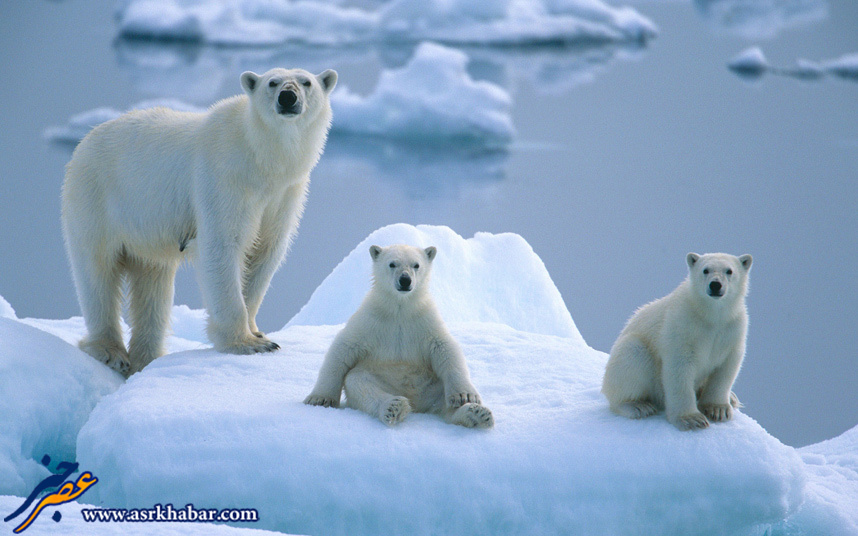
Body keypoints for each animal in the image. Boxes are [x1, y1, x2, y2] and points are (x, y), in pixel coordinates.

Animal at [59, 68, 334, 376]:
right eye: (272, 82)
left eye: (306, 82)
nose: (287, 97)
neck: (260, 159)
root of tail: (84, 141)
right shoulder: (224, 178)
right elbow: (222, 245)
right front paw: (248, 343)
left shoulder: (285, 194)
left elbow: (266, 251)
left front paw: (257, 331)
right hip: (96, 199)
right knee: (97, 272)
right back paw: (110, 352)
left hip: (145, 231)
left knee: (153, 285)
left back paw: (146, 357)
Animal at [302, 245, 492, 430]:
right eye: (392, 264)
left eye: (416, 265)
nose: (405, 280)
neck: (400, 308)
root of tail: (416, 402)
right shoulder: (370, 320)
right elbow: (343, 347)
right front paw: (319, 399)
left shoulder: (425, 320)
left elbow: (445, 348)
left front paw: (465, 396)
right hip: (380, 378)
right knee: (359, 383)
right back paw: (394, 406)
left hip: (432, 383)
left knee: (443, 400)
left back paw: (477, 414)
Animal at [600, 251, 748, 432]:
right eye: (705, 270)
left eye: (729, 271)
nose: (715, 285)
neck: (711, 315)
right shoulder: (682, 326)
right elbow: (679, 369)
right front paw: (692, 419)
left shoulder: (733, 328)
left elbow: (726, 367)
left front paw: (718, 410)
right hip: (631, 355)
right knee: (632, 356)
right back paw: (638, 406)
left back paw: (731, 398)